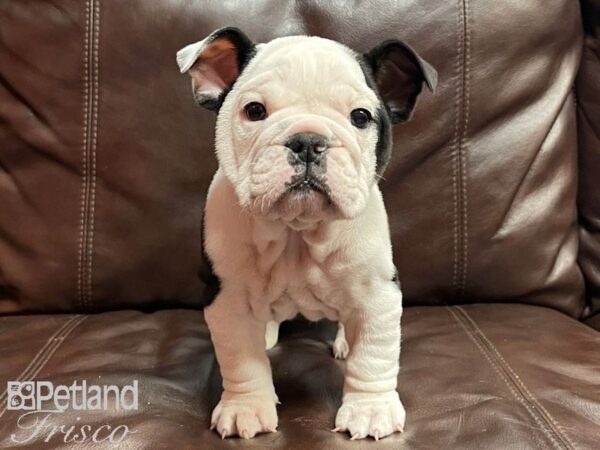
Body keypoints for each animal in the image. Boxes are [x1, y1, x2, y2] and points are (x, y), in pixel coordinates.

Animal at [176, 27, 434, 440]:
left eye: (361, 116)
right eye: (255, 111)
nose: (309, 141)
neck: (297, 232)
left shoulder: (378, 293)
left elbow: (374, 355)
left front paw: (370, 409)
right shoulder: (225, 299)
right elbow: (240, 360)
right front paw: (245, 407)